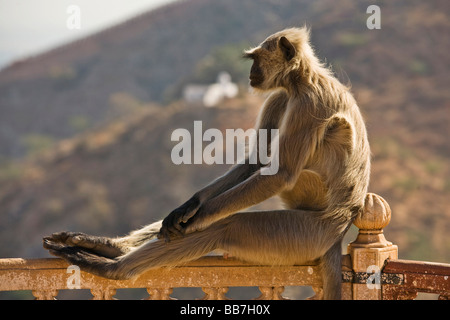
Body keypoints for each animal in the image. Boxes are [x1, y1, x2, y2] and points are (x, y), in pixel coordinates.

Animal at [44, 27, 370, 300]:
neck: (302, 80)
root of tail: (340, 228)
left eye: (256, 59)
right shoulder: (281, 96)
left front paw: (192, 221)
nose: (251, 72)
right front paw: (186, 209)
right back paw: (110, 247)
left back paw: (114, 269)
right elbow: (255, 161)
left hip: (305, 233)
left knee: (225, 225)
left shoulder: (308, 103)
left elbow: (280, 173)